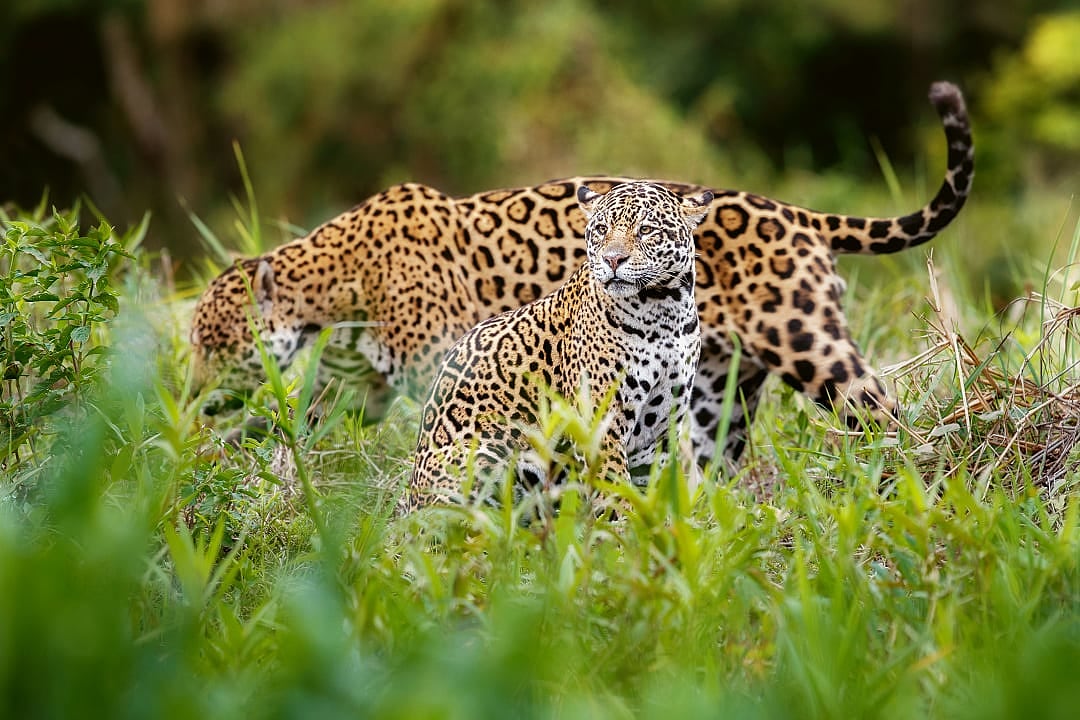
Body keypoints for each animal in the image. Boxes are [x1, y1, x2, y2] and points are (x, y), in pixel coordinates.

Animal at [189, 81, 973, 469]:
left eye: (214, 344)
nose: (192, 392)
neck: (336, 291)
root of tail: (794, 212)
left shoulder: (439, 368)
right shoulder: (357, 385)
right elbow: (293, 424)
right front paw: (222, 458)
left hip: (811, 346)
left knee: (888, 417)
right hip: (717, 392)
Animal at [403, 181, 713, 510]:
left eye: (645, 230)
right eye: (601, 229)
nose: (613, 260)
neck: (663, 313)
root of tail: (412, 500)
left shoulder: (661, 428)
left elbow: (650, 488)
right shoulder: (599, 420)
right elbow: (614, 485)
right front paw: (620, 520)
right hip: (482, 455)